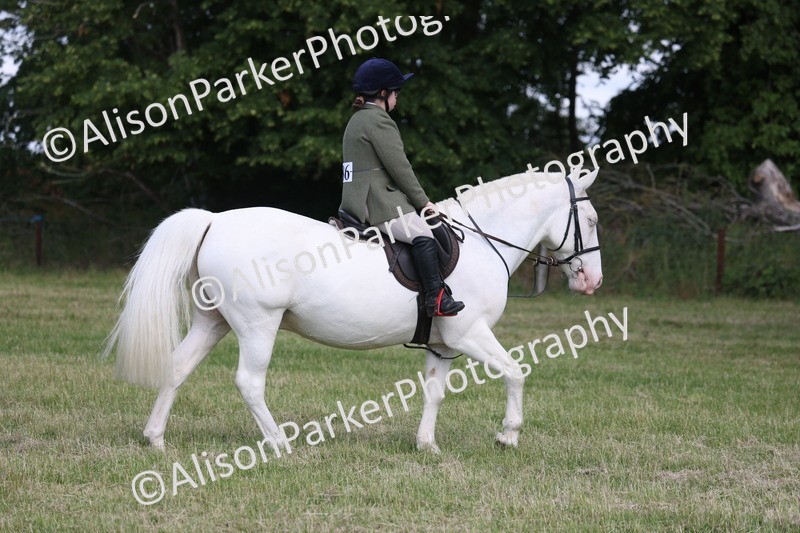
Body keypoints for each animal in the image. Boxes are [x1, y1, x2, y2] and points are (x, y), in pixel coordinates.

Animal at [102, 168, 603, 453]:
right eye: (592, 221)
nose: (592, 282)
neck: (482, 241)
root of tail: (215, 220)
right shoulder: (470, 334)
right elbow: (517, 371)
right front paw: (508, 435)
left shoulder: (443, 344)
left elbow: (434, 392)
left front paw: (427, 446)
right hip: (257, 323)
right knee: (249, 382)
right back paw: (279, 444)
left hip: (214, 321)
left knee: (177, 367)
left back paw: (155, 439)